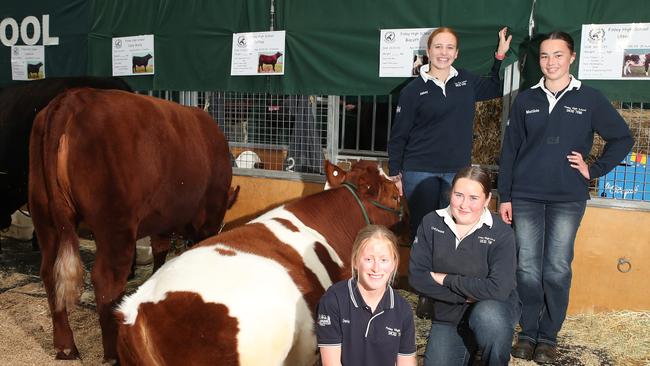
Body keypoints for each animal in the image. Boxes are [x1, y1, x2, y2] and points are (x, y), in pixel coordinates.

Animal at [28, 87, 235, 362]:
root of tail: (72, 98)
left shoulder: (161, 218)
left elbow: (160, 250)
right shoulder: (209, 215)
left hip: (44, 218)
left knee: (50, 273)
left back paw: (65, 347)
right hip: (115, 225)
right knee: (106, 280)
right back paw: (112, 353)